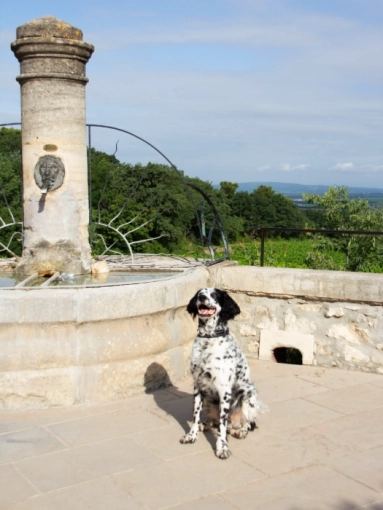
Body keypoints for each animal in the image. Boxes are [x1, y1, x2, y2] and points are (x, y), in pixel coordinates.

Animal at [182, 288, 262, 460]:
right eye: (199, 293)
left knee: (248, 423)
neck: (209, 339)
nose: (201, 297)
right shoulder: (198, 385)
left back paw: (240, 431)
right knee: (215, 421)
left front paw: (222, 448)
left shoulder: (224, 390)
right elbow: (195, 415)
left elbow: (222, 427)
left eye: (214, 295)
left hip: (248, 396)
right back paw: (205, 424)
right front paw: (191, 435)